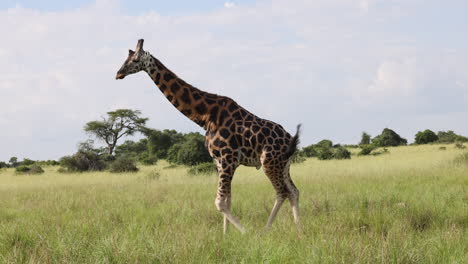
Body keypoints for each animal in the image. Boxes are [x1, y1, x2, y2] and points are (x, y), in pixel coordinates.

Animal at [115, 39, 302, 233]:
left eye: (135, 60)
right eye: (126, 58)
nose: (118, 73)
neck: (205, 116)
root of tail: (291, 140)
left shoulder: (228, 159)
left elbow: (219, 202)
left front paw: (245, 233)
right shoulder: (219, 161)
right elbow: (228, 200)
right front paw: (226, 235)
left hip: (269, 162)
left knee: (282, 192)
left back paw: (265, 231)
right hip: (284, 164)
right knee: (294, 191)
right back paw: (299, 230)